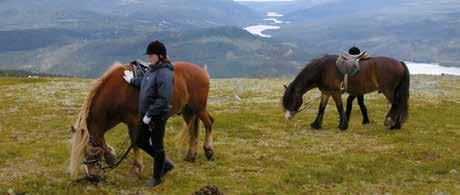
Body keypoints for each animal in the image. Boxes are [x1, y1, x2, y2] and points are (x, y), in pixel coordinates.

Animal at [68, 61, 216, 181]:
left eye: (90, 151)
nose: (91, 175)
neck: (118, 90)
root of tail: (203, 71)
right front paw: (111, 156)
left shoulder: (133, 120)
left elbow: (135, 142)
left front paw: (137, 168)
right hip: (188, 111)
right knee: (192, 131)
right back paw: (191, 155)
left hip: (199, 108)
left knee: (209, 122)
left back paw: (209, 150)